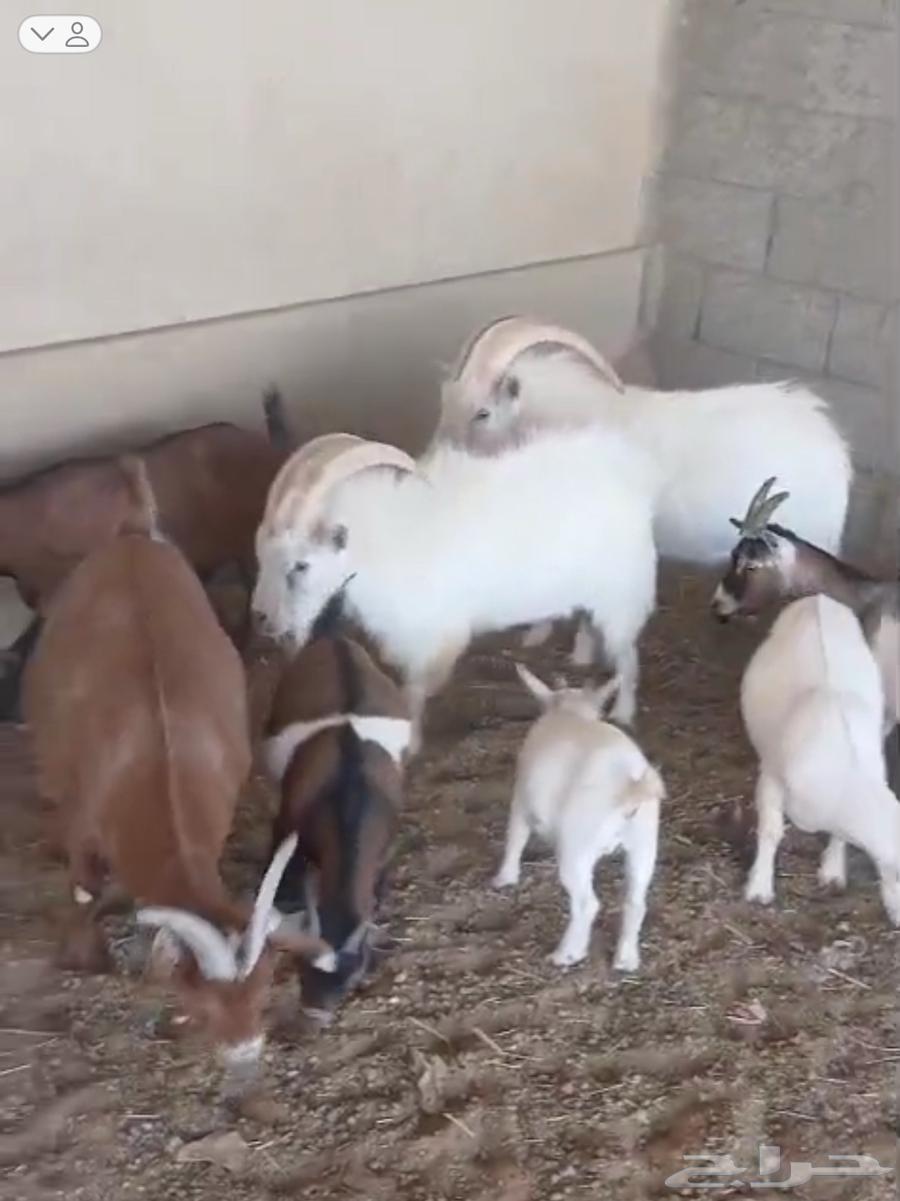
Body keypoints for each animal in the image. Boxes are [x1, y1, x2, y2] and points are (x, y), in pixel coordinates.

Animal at [23, 456, 326, 1075]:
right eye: (202, 998)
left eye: (264, 987)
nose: (245, 1053)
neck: (155, 773)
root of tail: (135, 532)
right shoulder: (84, 821)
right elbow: (83, 889)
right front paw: (85, 957)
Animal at [252, 428, 658, 745]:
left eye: (301, 565)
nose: (262, 620)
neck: (382, 545)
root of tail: (623, 469)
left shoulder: (433, 638)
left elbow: (415, 691)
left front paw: (412, 741)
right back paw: (577, 654)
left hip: (620, 595)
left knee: (626, 657)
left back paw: (623, 712)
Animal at [432, 316, 852, 666]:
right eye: (445, 400)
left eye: (482, 413)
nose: (433, 461)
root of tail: (831, 440)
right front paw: (537, 637)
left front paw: (580, 656)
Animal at [493, 664, 664, 971]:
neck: (571, 712)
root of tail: (628, 785)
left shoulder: (521, 801)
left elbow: (515, 838)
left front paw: (505, 878)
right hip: (644, 841)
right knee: (635, 901)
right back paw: (626, 959)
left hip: (577, 844)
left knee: (587, 904)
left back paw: (567, 954)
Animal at [739, 594, 900, 925]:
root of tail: (818, 599)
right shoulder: (771, 776)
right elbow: (771, 830)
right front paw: (759, 888)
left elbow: (838, 835)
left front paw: (833, 871)